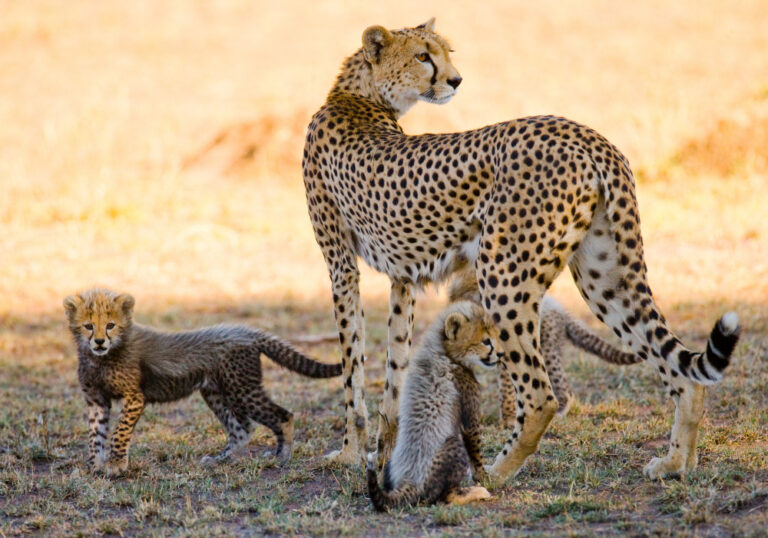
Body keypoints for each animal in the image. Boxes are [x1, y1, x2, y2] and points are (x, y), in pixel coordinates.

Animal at [302, 19, 736, 482]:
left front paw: (348, 452)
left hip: (502, 273)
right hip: (605, 274)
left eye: (445, 52)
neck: (356, 96)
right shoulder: (402, 278)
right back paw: (676, 463)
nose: (456, 80)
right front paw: (381, 453)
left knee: (541, 396)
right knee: (683, 373)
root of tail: (585, 133)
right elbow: (393, 367)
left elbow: (352, 366)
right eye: (422, 55)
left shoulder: (341, 266)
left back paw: (493, 473)